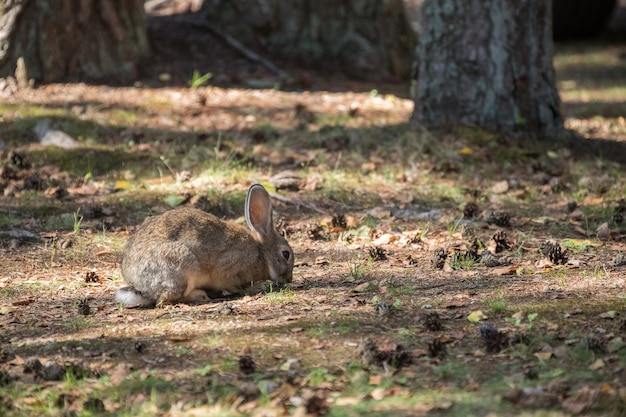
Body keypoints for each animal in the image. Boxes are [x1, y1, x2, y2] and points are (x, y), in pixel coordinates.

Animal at [114, 184, 292, 308]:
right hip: (183, 267)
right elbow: (237, 286)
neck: (261, 252)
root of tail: (140, 286)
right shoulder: (232, 270)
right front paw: (258, 287)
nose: (289, 279)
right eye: (286, 254)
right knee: (166, 299)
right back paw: (198, 295)